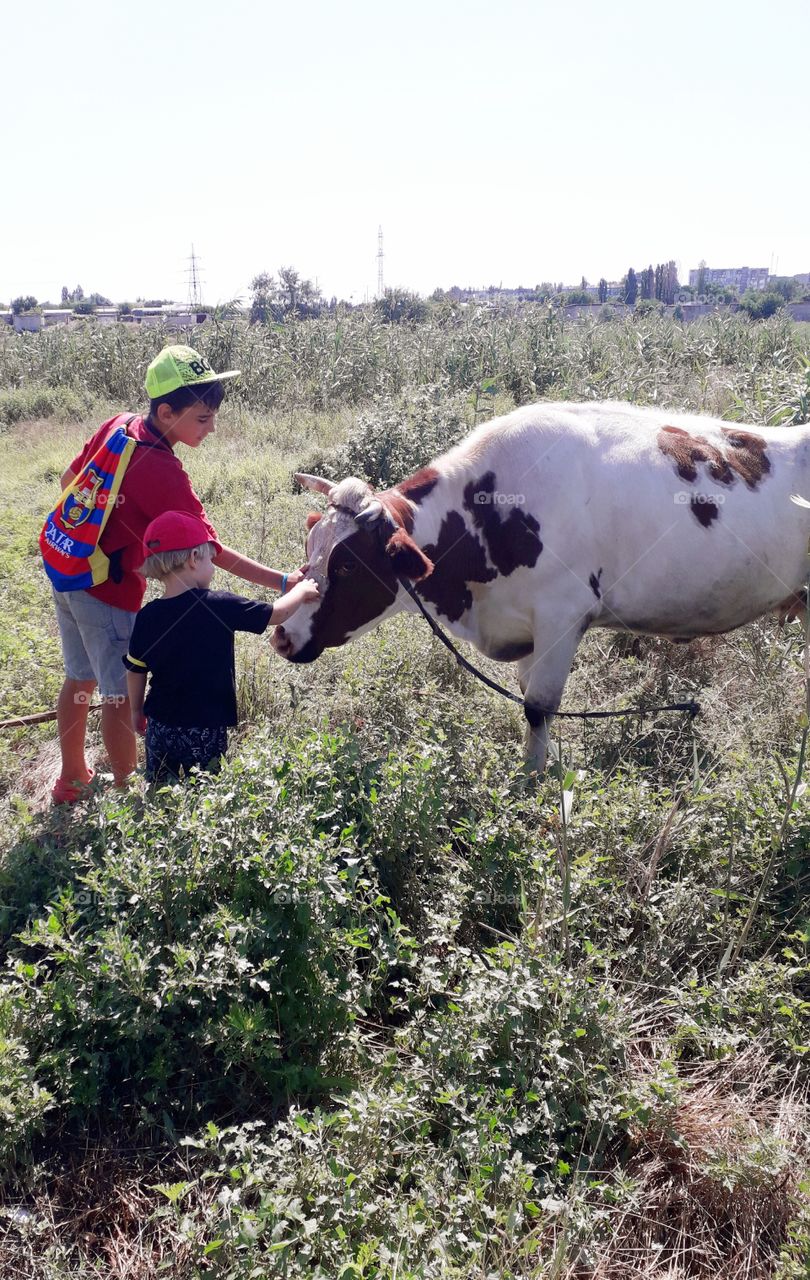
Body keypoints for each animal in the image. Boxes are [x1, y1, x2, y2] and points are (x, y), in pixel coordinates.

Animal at [272, 401, 810, 769]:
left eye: (346, 567)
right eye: (310, 545)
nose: (281, 635)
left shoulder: (561, 617)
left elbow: (538, 707)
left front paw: (530, 783)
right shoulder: (526, 628)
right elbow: (528, 696)